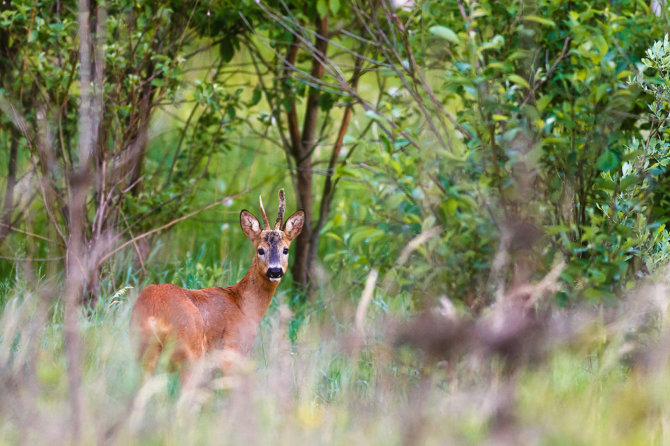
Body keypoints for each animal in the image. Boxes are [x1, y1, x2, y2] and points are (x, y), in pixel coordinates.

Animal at [129, 188, 308, 380]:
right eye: (261, 250)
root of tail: (155, 314)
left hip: (143, 353)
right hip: (191, 352)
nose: (275, 271)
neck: (244, 305)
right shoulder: (233, 349)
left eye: (285, 249)